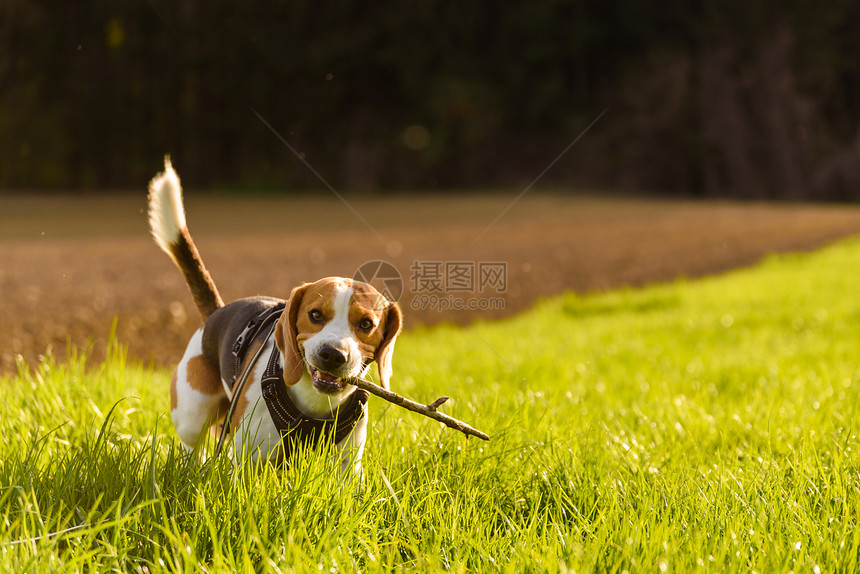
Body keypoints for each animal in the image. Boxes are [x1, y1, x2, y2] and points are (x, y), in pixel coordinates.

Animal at [148, 159, 404, 476]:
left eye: (366, 324)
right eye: (315, 315)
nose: (333, 354)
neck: (315, 401)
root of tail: (217, 311)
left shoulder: (347, 463)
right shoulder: (248, 456)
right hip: (192, 411)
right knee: (192, 447)